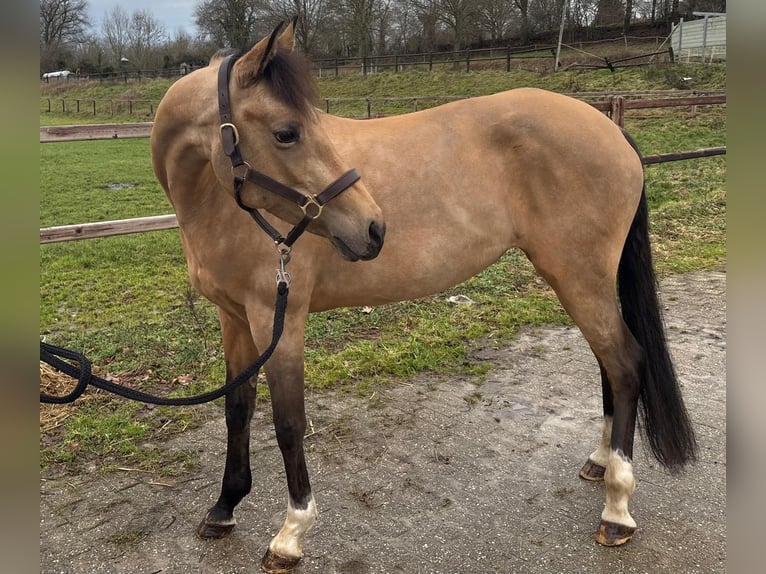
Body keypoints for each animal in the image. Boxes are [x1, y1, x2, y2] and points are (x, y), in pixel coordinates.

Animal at [150, 19, 697, 573]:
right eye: (287, 132)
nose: (373, 227)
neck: (219, 206)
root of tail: (608, 128)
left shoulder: (279, 319)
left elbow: (288, 422)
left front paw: (290, 534)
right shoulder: (236, 318)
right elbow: (237, 408)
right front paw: (223, 507)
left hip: (579, 279)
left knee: (625, 364)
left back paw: (617, 508)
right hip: (583, 284)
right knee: (610, 365)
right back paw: (601, 462)